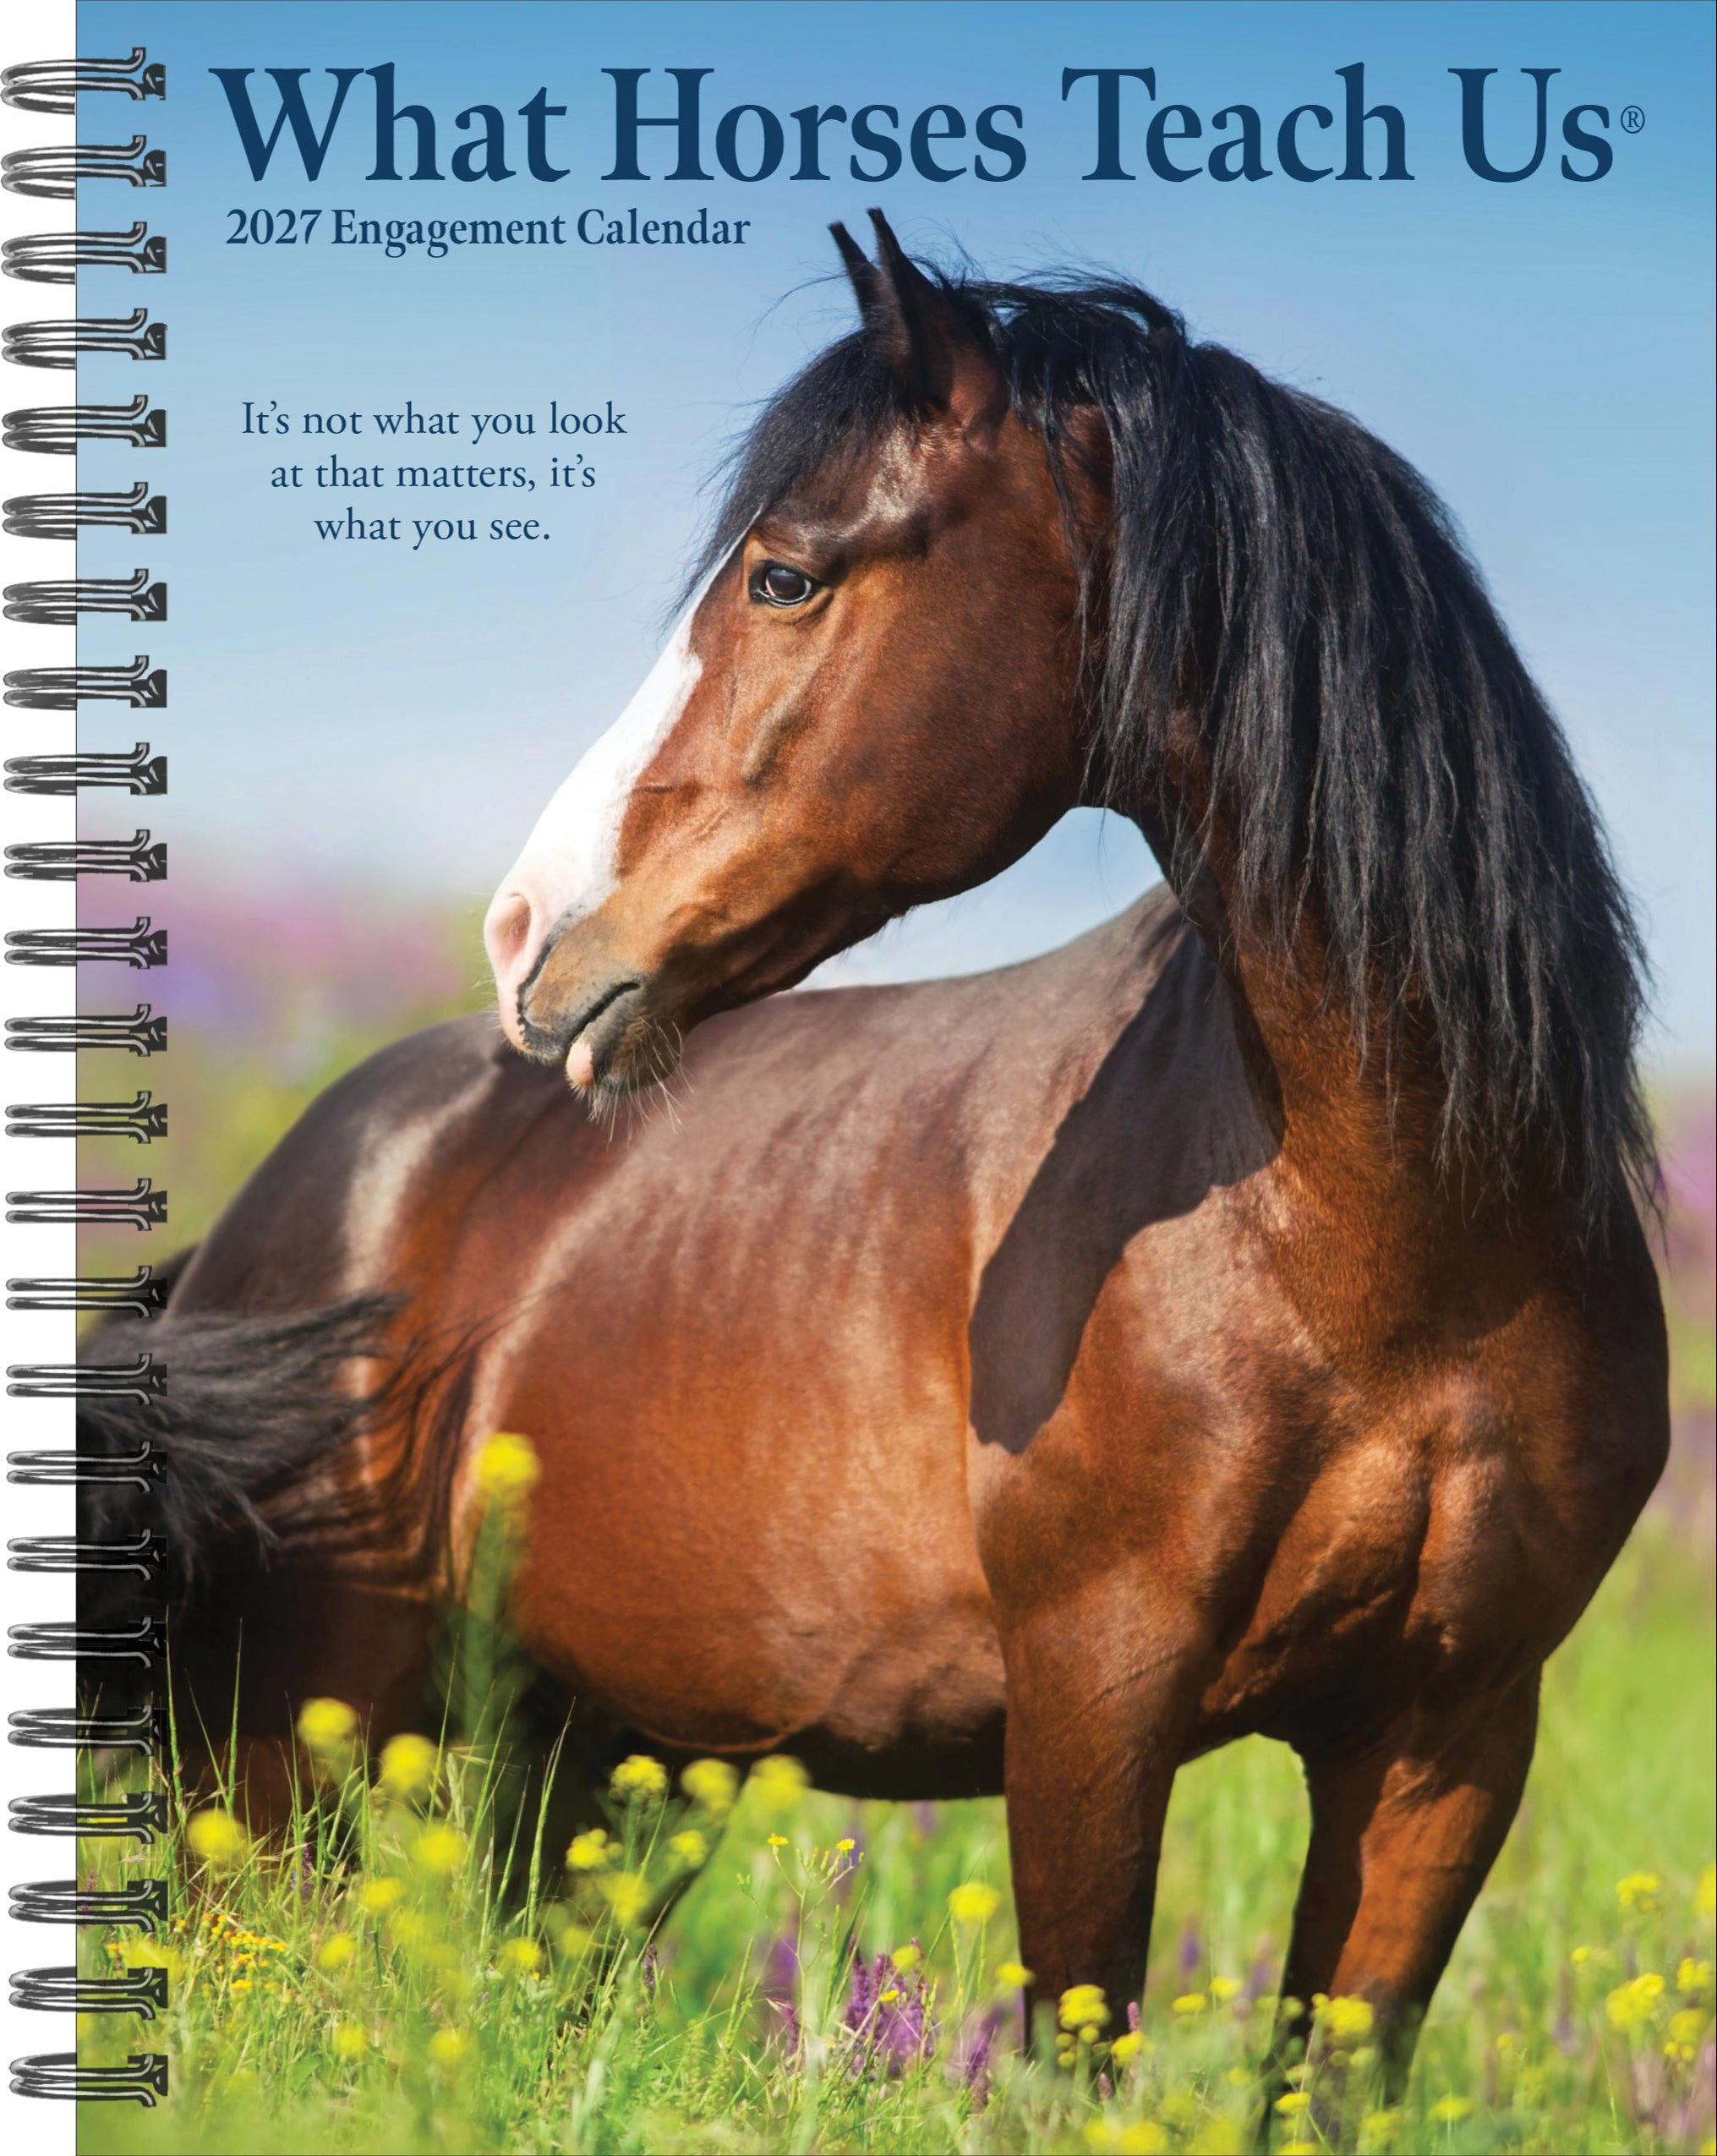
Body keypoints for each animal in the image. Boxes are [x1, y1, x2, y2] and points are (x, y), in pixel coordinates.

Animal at [87, 212, 1667, 2088]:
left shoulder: (1446, 1739)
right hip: (281, 1757)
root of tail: (263, 1222)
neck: (1385, 1251)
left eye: (783, 577)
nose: (525, 932)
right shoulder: (1095, 1701)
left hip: (608, 1750)